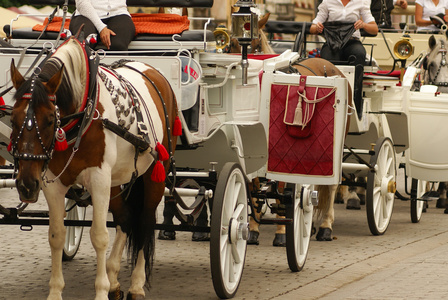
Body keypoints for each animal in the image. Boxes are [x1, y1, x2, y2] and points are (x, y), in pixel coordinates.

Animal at [8, 38, 178, 300]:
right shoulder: (52, 183)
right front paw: (55, 292)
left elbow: (99, 236)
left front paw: (100, 291)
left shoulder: (98, 179)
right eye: (13, 119)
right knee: (126, 218)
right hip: (117, 180)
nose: (26, 185)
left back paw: (136, 285)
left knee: (145, 221)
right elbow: (56, 235)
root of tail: (151, 70)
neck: (83, 114)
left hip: (154, 174)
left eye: (50, 119)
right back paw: (115, 278)